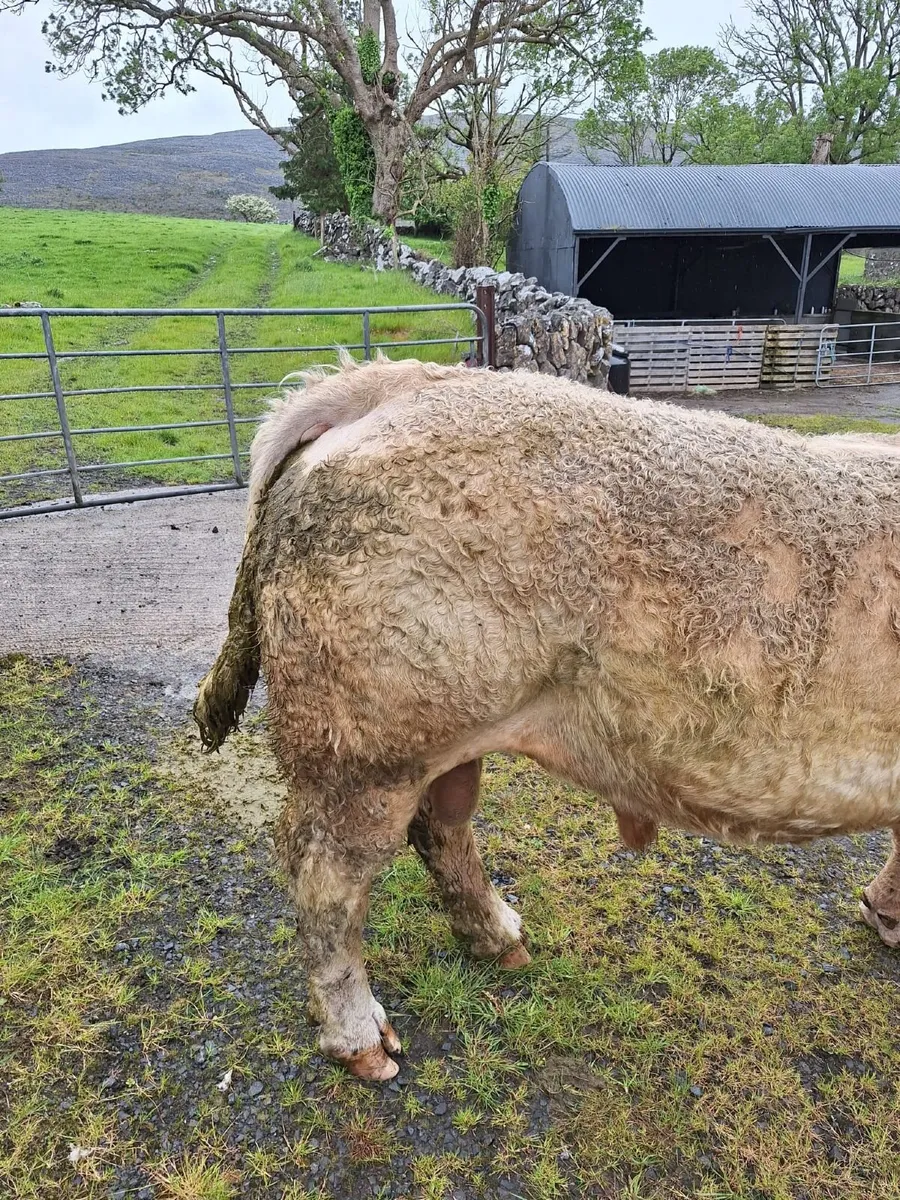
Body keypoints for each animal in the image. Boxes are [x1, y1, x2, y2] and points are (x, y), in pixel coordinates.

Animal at [195, 355, 900, 1081]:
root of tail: (401, 380)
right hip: (362, 744)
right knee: (325, 876)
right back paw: (361, 1038)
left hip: (427, 732)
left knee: (438, 826)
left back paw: (497, 935)